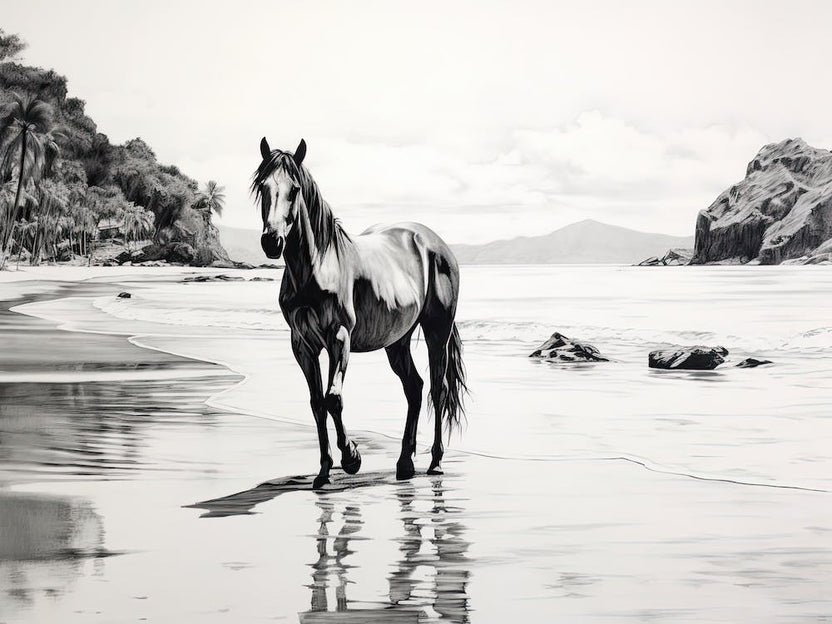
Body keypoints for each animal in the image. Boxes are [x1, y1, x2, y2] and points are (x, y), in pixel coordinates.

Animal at [253, 137, 467, 489]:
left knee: (438, 389)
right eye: (263, 186)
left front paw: (351, 457)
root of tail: (433, 242)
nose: (272, 241)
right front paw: (324, 471)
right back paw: (404, 463)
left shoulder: (339, 337)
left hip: (438, 331)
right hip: (397, 340)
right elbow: (317, 402)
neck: (319, 264)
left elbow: (333, 398)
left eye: (295, 189)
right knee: (414, 388)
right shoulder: (303, 344)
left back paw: (435, 462)